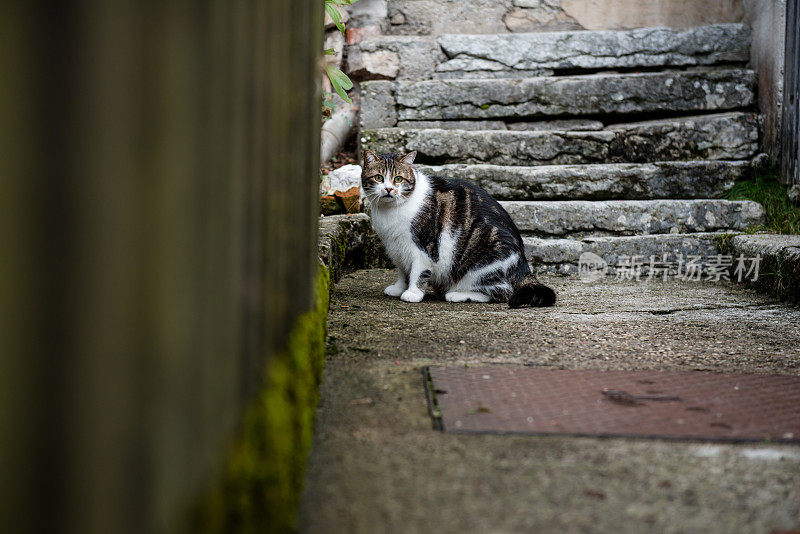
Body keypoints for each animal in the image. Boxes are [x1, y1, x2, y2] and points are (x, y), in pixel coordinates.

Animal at [362, 151, 556, 310]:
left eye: (398, 179)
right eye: (378, 178)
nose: (389, 189)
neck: (391, 211)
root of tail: (523, 263)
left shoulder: (424, 247)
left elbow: (418, 272)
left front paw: (413, 293)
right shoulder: (397, 248)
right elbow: (403, 271)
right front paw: (399, 288)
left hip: (484, 257)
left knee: (503, 291)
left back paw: (457, 294)